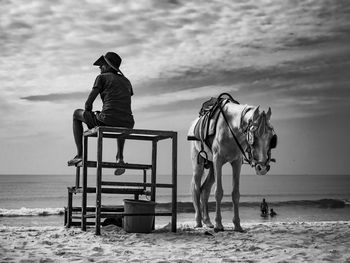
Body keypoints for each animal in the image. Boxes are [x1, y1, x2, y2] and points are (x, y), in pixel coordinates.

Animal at [189, 98, 276, 233]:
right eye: (254, 135)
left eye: (271, 137)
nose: (262, 168)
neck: (230, 128)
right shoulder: (218, 160)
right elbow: (218, 192)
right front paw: (219, 224)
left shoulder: (236, 162)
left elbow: (236, 194)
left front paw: (237, 225)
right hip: (198, 163)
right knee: (196, 188)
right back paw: (198, 221)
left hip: (212, 168)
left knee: (205, 190)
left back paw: (208, 221)